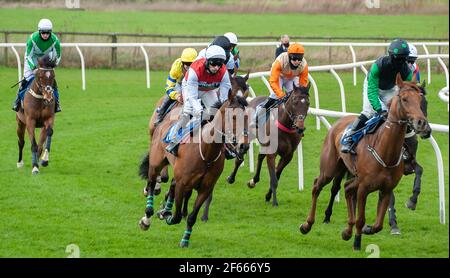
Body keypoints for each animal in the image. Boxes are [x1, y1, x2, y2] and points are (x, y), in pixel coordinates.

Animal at [138, 83, 248, 248]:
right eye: (233, 117)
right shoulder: (183, 183)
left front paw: (185, 240)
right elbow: (176, 216)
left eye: (247, 116)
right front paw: (166, 215)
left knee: (170, 184)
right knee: (152, 182)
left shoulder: (205, 188)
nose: (244, 146)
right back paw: (147, 216)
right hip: (156, 162)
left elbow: (192, 217)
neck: (207, 152)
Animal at [300, 73, 430, 250]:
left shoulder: (387, 188)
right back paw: (307, 224)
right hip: (329, 169)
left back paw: (346, 231)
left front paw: (367, 229)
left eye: (421, 99)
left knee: (347, 188)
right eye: (404, 99)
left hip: (351, 174)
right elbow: (361, 218)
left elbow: (378, 224)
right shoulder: (364, 188)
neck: (385, 150)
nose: (422, 124)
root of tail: (338, 123)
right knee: (317, 187)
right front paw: (357, 242)